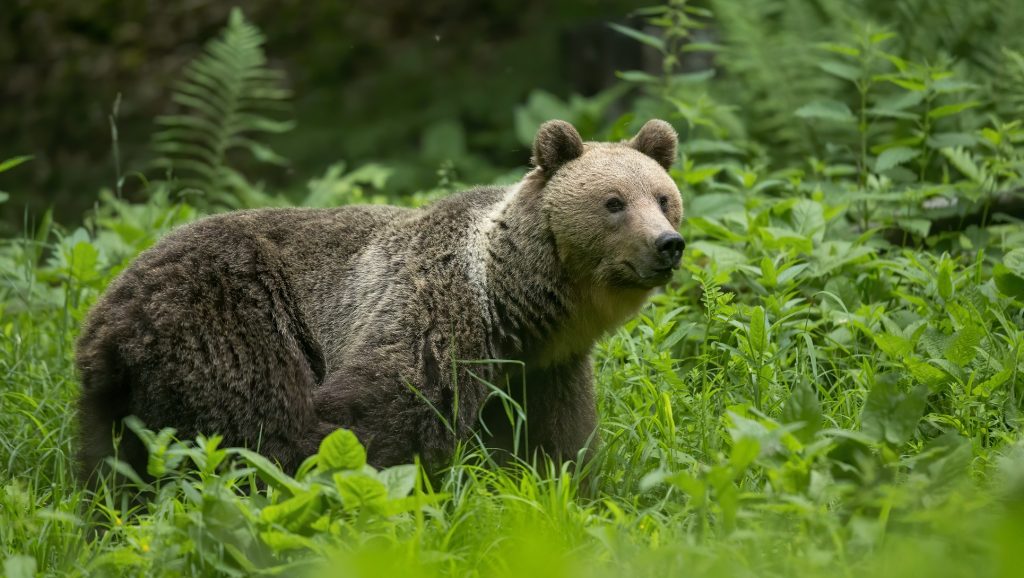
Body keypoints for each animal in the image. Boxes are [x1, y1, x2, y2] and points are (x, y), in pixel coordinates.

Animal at [75, 117, 684, 479]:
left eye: (662, 198)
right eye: (613, 202)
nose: (668, 245)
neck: (513, 305)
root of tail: (106, 314)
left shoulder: (545, 369)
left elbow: (558, 444)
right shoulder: (435, 320)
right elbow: (376, 417)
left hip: (120, 396)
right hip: (229, 314)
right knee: (257, 421)